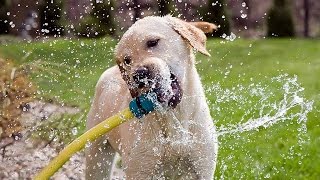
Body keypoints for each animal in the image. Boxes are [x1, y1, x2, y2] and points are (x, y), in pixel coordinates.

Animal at [86, 16, 219, 179]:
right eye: (127, 60)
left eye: (153, 42)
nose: (138, 75)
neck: (172, 117)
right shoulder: (141, 170)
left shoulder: (202, 167)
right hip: (96, 157)